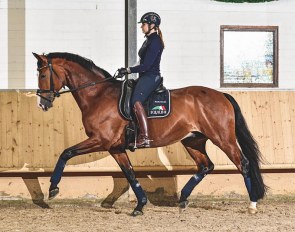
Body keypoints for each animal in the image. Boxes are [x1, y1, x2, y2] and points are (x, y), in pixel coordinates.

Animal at [33, 52, 268, 216]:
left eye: (43, 74)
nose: (42, 103)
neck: (97, 95)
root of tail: (221, 95)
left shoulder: (101, 140)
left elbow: (66, 153)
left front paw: (53, 189)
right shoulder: (115, 147)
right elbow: (129, 174)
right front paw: (140, 205)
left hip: (223, 138)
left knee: (243, 164)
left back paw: (252, 205)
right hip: (193, 141)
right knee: (206, 166)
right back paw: (183, 199)